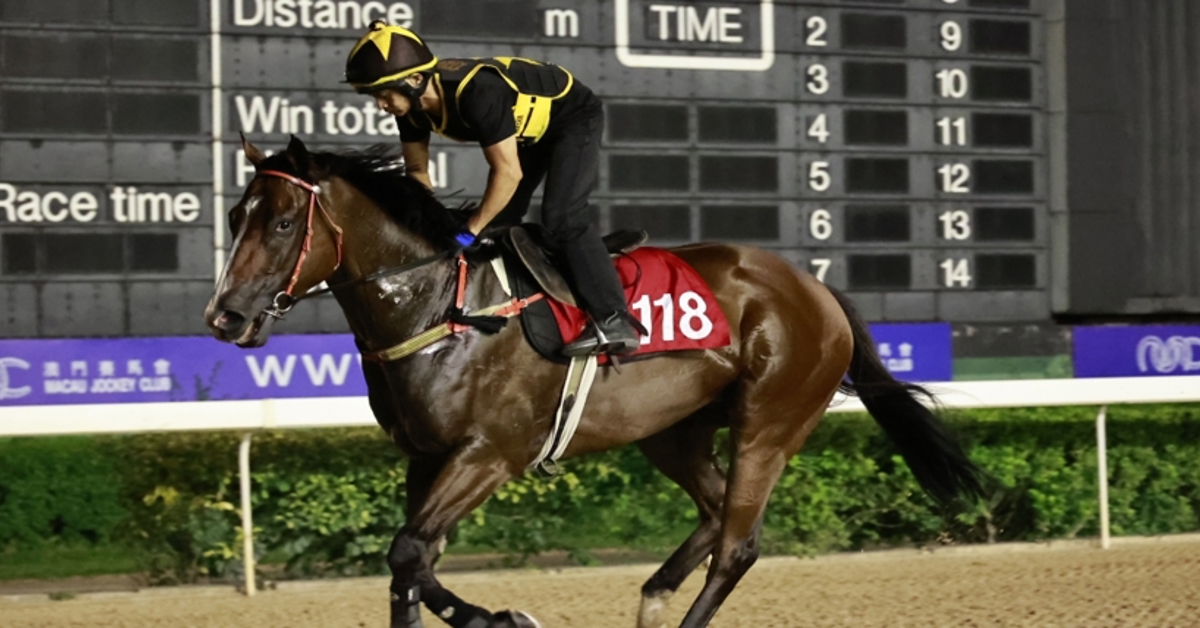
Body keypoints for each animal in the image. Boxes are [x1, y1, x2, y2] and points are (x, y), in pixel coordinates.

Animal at [204, 136, 981, 628]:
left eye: (282, 222)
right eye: (237, 216)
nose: (225, 314)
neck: (443, 308)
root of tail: (815, 290)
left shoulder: (490, 454)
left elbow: (408, 554)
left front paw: (504, 618)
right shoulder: (425, 458)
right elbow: (409, 566)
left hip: (771, 422)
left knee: (737, 545)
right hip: (672, 430)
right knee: (712, 512)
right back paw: (653, 598)